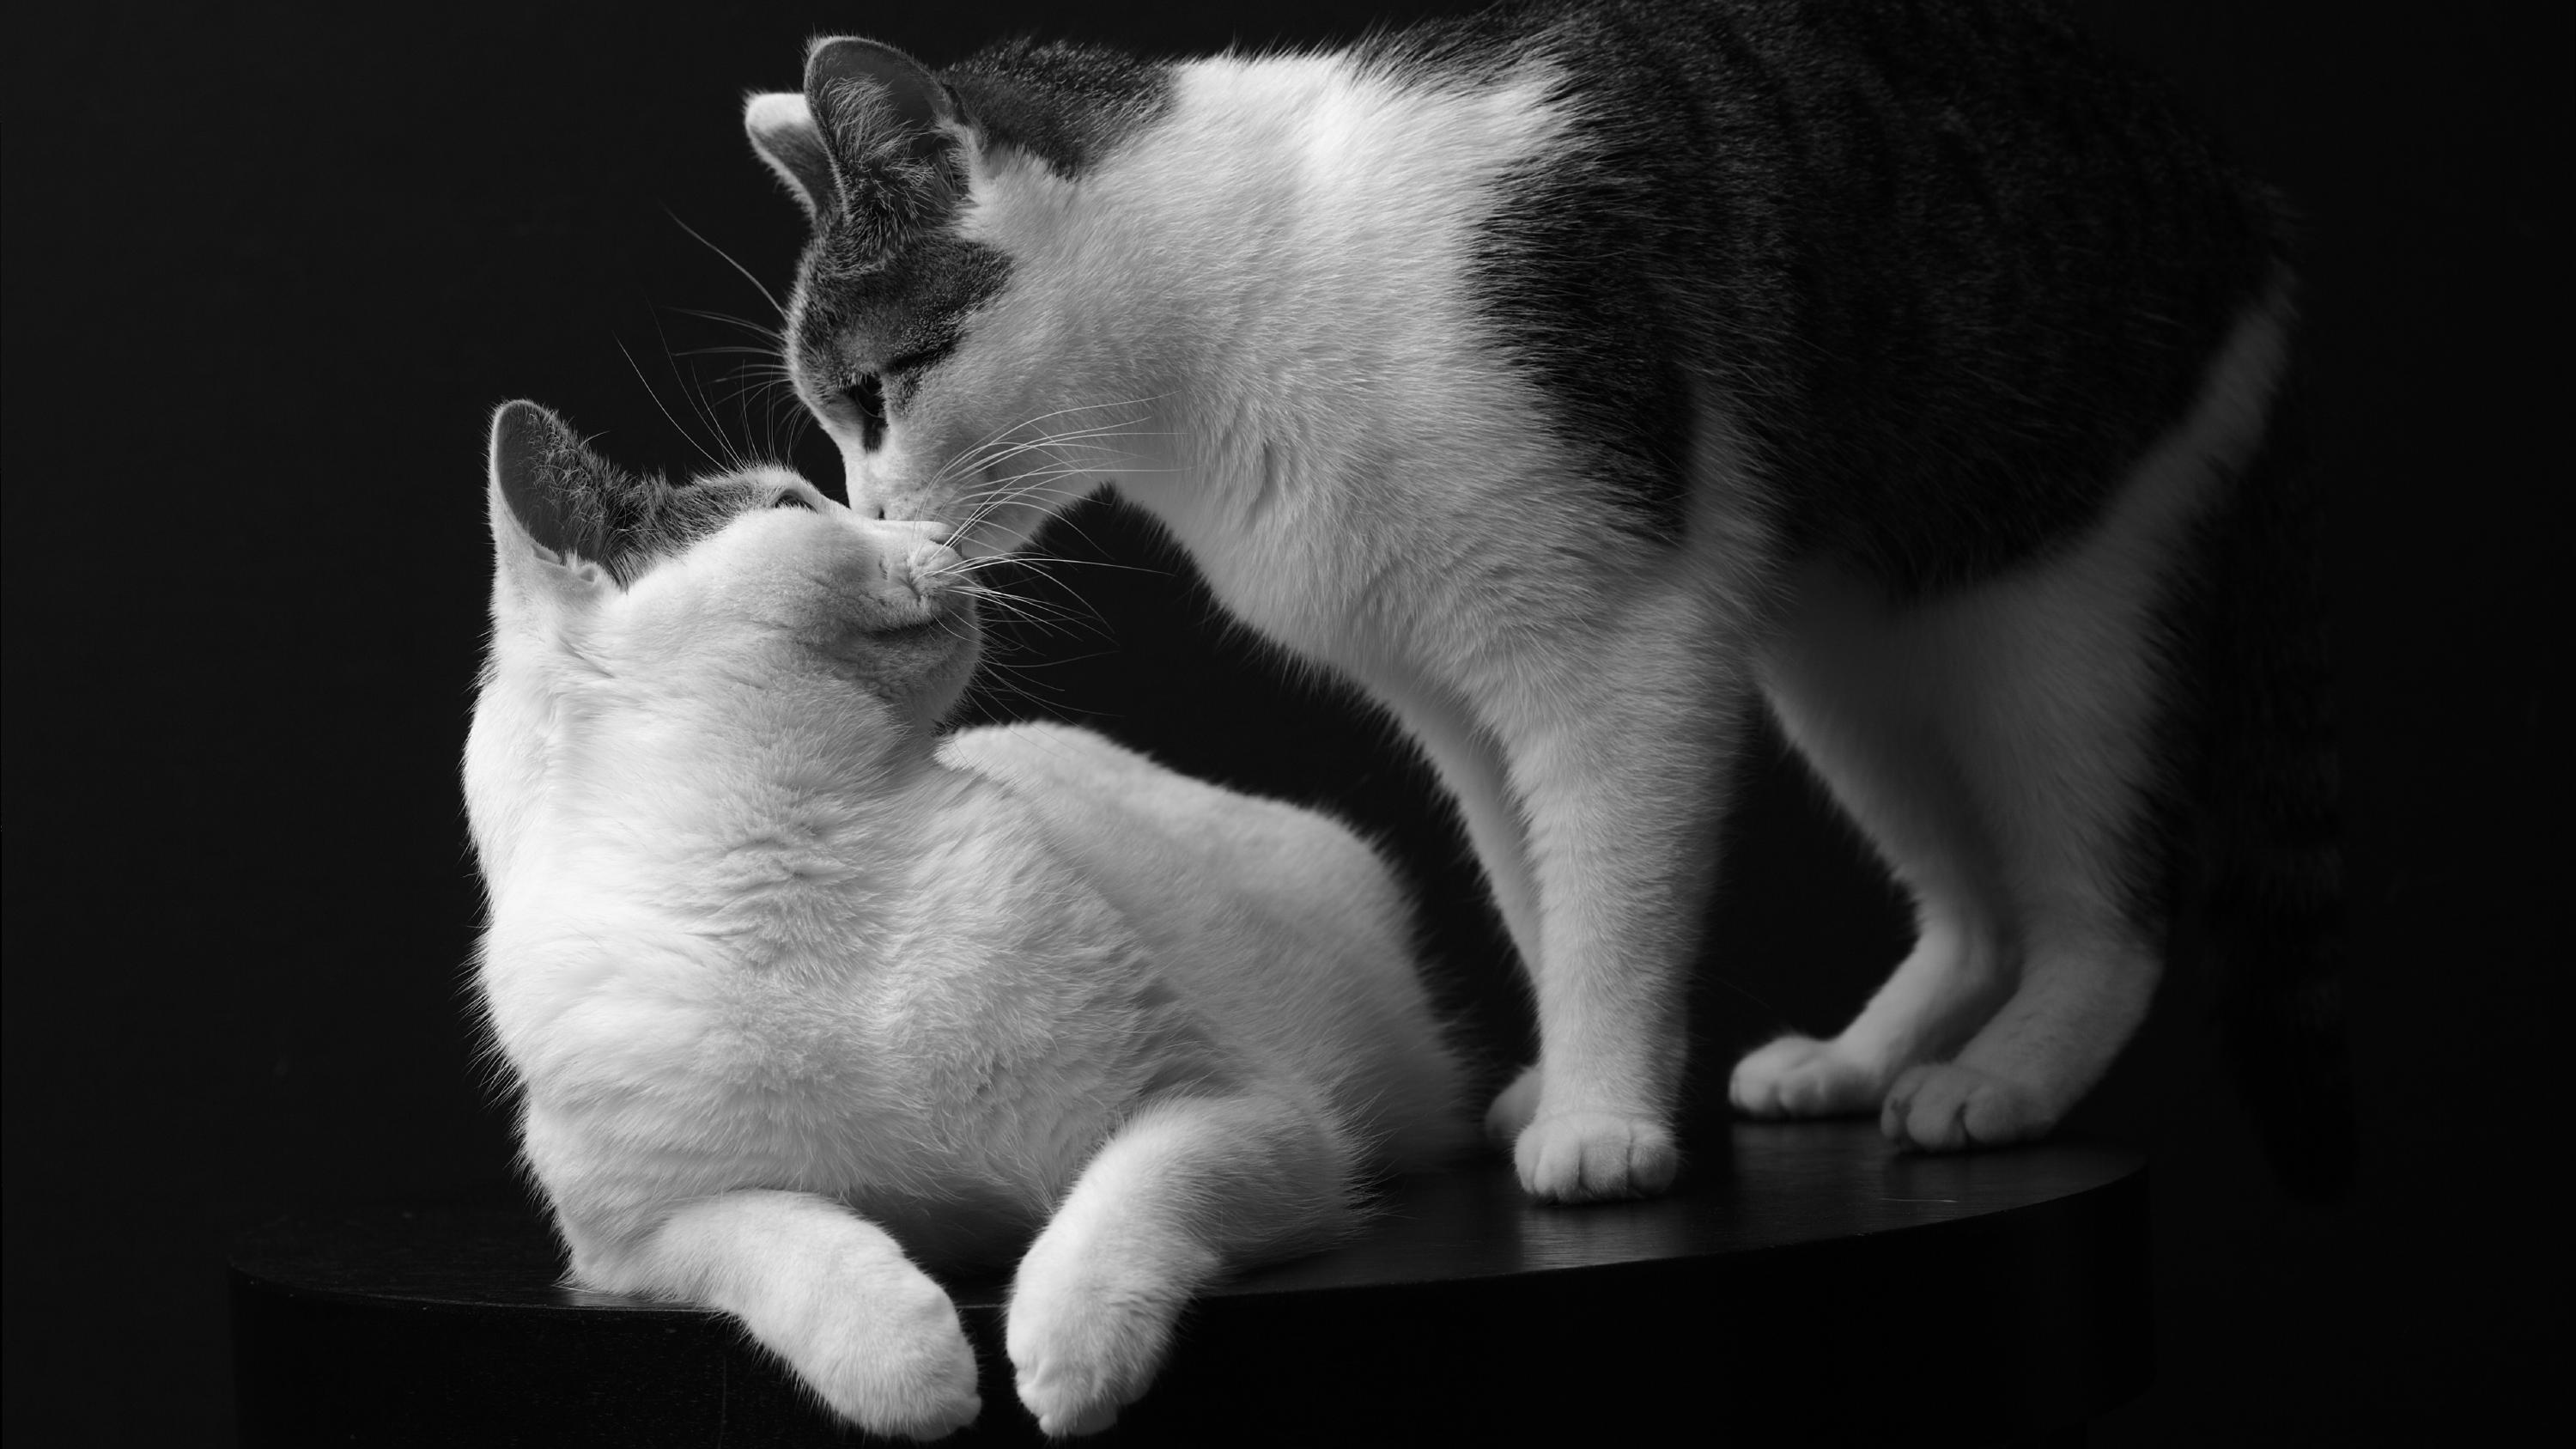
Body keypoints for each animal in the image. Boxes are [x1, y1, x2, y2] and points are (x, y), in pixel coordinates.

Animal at [464, 399, 1469, 1438]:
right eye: (793, 505)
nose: (941, 532)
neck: (800, 875)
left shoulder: (1254, 1116)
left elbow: (1136, 1188)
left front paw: (1074, 1347)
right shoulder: (633, 1242)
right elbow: (780, 1236)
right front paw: (907, 1364)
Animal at [737, 0, 2347, 1202]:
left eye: (874, 392)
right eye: (828, 420)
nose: (869, 518)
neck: (1238, 300)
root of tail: (2244, 190)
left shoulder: (1618, 650)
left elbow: (1612, 901)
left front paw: (1604, 1122)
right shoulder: (1451, 698)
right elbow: (1531, 889)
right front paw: (1568, 1081)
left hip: (2060, 607)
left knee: (2104, 904)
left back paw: (2003, 1076)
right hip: (1850, 651)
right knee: (1972, 907)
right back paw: (1854, 1060)